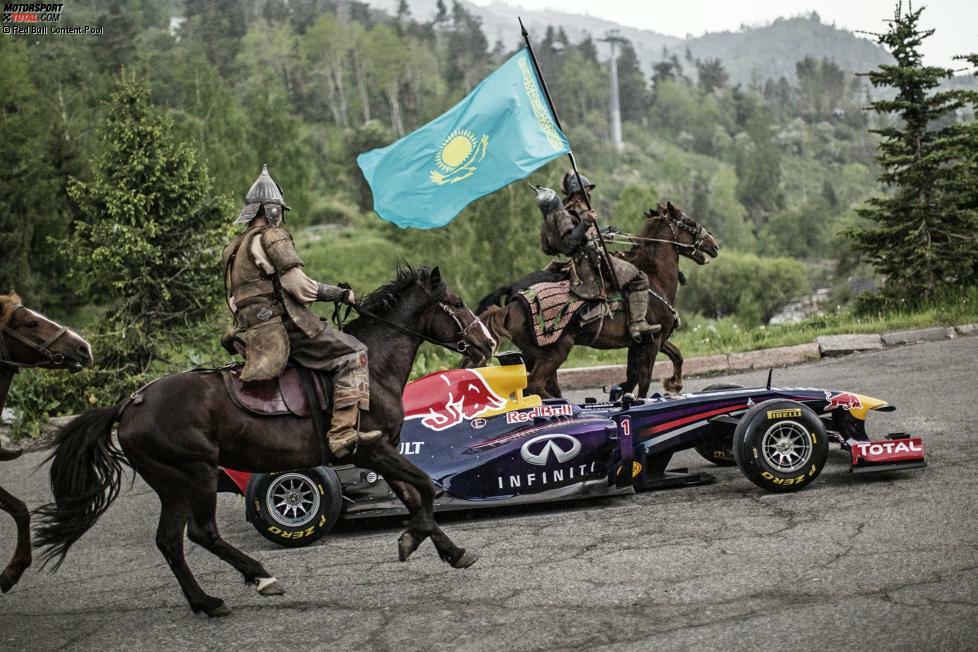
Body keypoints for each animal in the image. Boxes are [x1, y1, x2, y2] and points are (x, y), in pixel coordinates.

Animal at [34, 264, 496, 616]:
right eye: (456, 303)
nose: (487, 343)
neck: (373, 366)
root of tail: (130, 404)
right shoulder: (372, 449)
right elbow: (424, 490)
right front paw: (413, 539)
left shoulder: (384, 452)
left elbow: (415, 498)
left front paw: (450, 551)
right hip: (195, 474)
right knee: (201, 533)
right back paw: (260, 577)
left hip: (173, 484)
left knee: (169, 541)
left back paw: (206, 602)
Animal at [478, 202, 716, 398]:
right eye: (689, 223)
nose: (714, 245)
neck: (655, 278)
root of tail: (513, 305)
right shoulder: (653, 341)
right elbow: (644, 380)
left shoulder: (642, 342)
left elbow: (670, 358)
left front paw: (672, 384)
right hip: (555, 352)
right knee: (535, 385)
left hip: (532, 355)